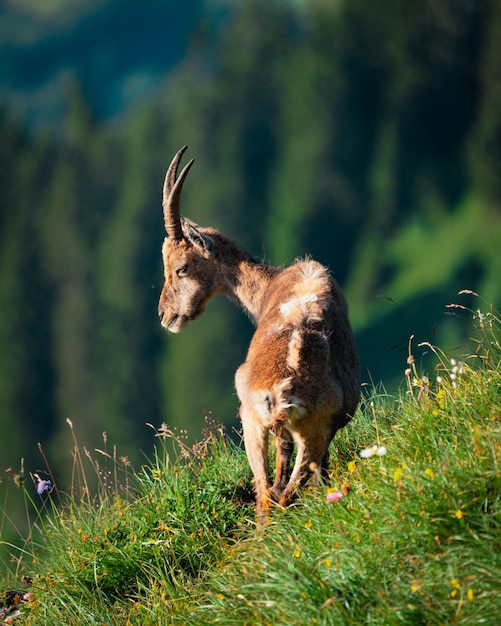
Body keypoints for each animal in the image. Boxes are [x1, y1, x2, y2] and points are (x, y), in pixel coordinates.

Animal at [158, 147, 358, 516]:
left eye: (181, 267)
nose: (165, 315)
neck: (270, 285)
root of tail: (281, 395)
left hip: (260, 425)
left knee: (270, 493)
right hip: (290, 430)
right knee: (277, 492)